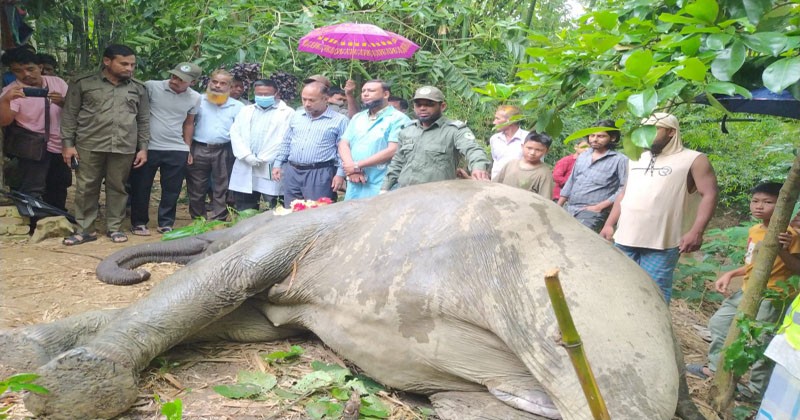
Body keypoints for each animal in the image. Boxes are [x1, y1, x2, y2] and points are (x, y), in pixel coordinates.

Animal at [0, 181, 700, 420]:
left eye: (223, 232)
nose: (136, 269)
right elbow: (243, 325)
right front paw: (22, 354)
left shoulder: (302, 233)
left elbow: (224, 282)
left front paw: (64, 390)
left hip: (598, 326)